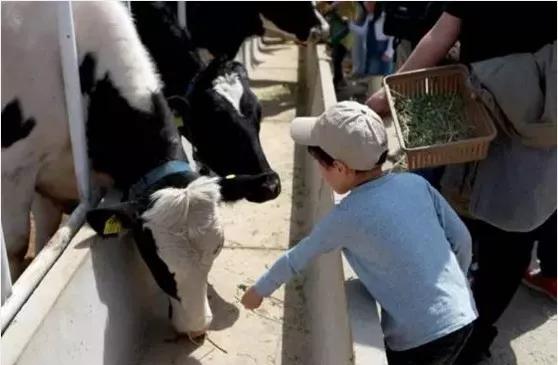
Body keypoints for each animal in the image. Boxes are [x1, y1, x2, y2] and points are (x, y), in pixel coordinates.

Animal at [0, 0, 264, 338]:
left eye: (217, 249)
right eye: (154, 257)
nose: (197, 327)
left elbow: (49, 234)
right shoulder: (17, 167)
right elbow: (17, 243)